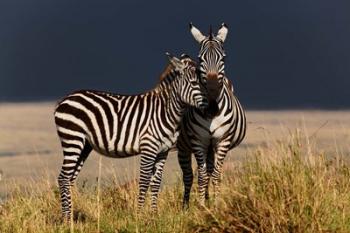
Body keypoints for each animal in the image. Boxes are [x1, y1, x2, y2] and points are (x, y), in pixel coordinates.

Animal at [54, 53, 208, 220]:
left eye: (204, 82)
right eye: (194, 83)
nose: (211, 104)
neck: (166, 111)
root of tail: (64, 99)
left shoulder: (163, 151)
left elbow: (156, 182)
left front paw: (154, 215)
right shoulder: (148, 147)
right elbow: (144, 181)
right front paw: (139, 215)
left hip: (84, 146)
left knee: (70, 179)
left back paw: (70, 217)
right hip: (73, 139)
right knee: (63, 178)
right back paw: (66, 219)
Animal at [176, 22, 247, 207]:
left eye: (224, 58)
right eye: (201, 59)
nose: (213, 91)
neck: (212, 112)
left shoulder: (223, 140)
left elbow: (215, 174)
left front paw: (216, 205)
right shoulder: (198, 141)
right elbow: (201, 176)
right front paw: (201, 206)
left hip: (211, 146)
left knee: (209, 170)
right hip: (185, 147)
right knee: (188, 176)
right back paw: (185, 206)